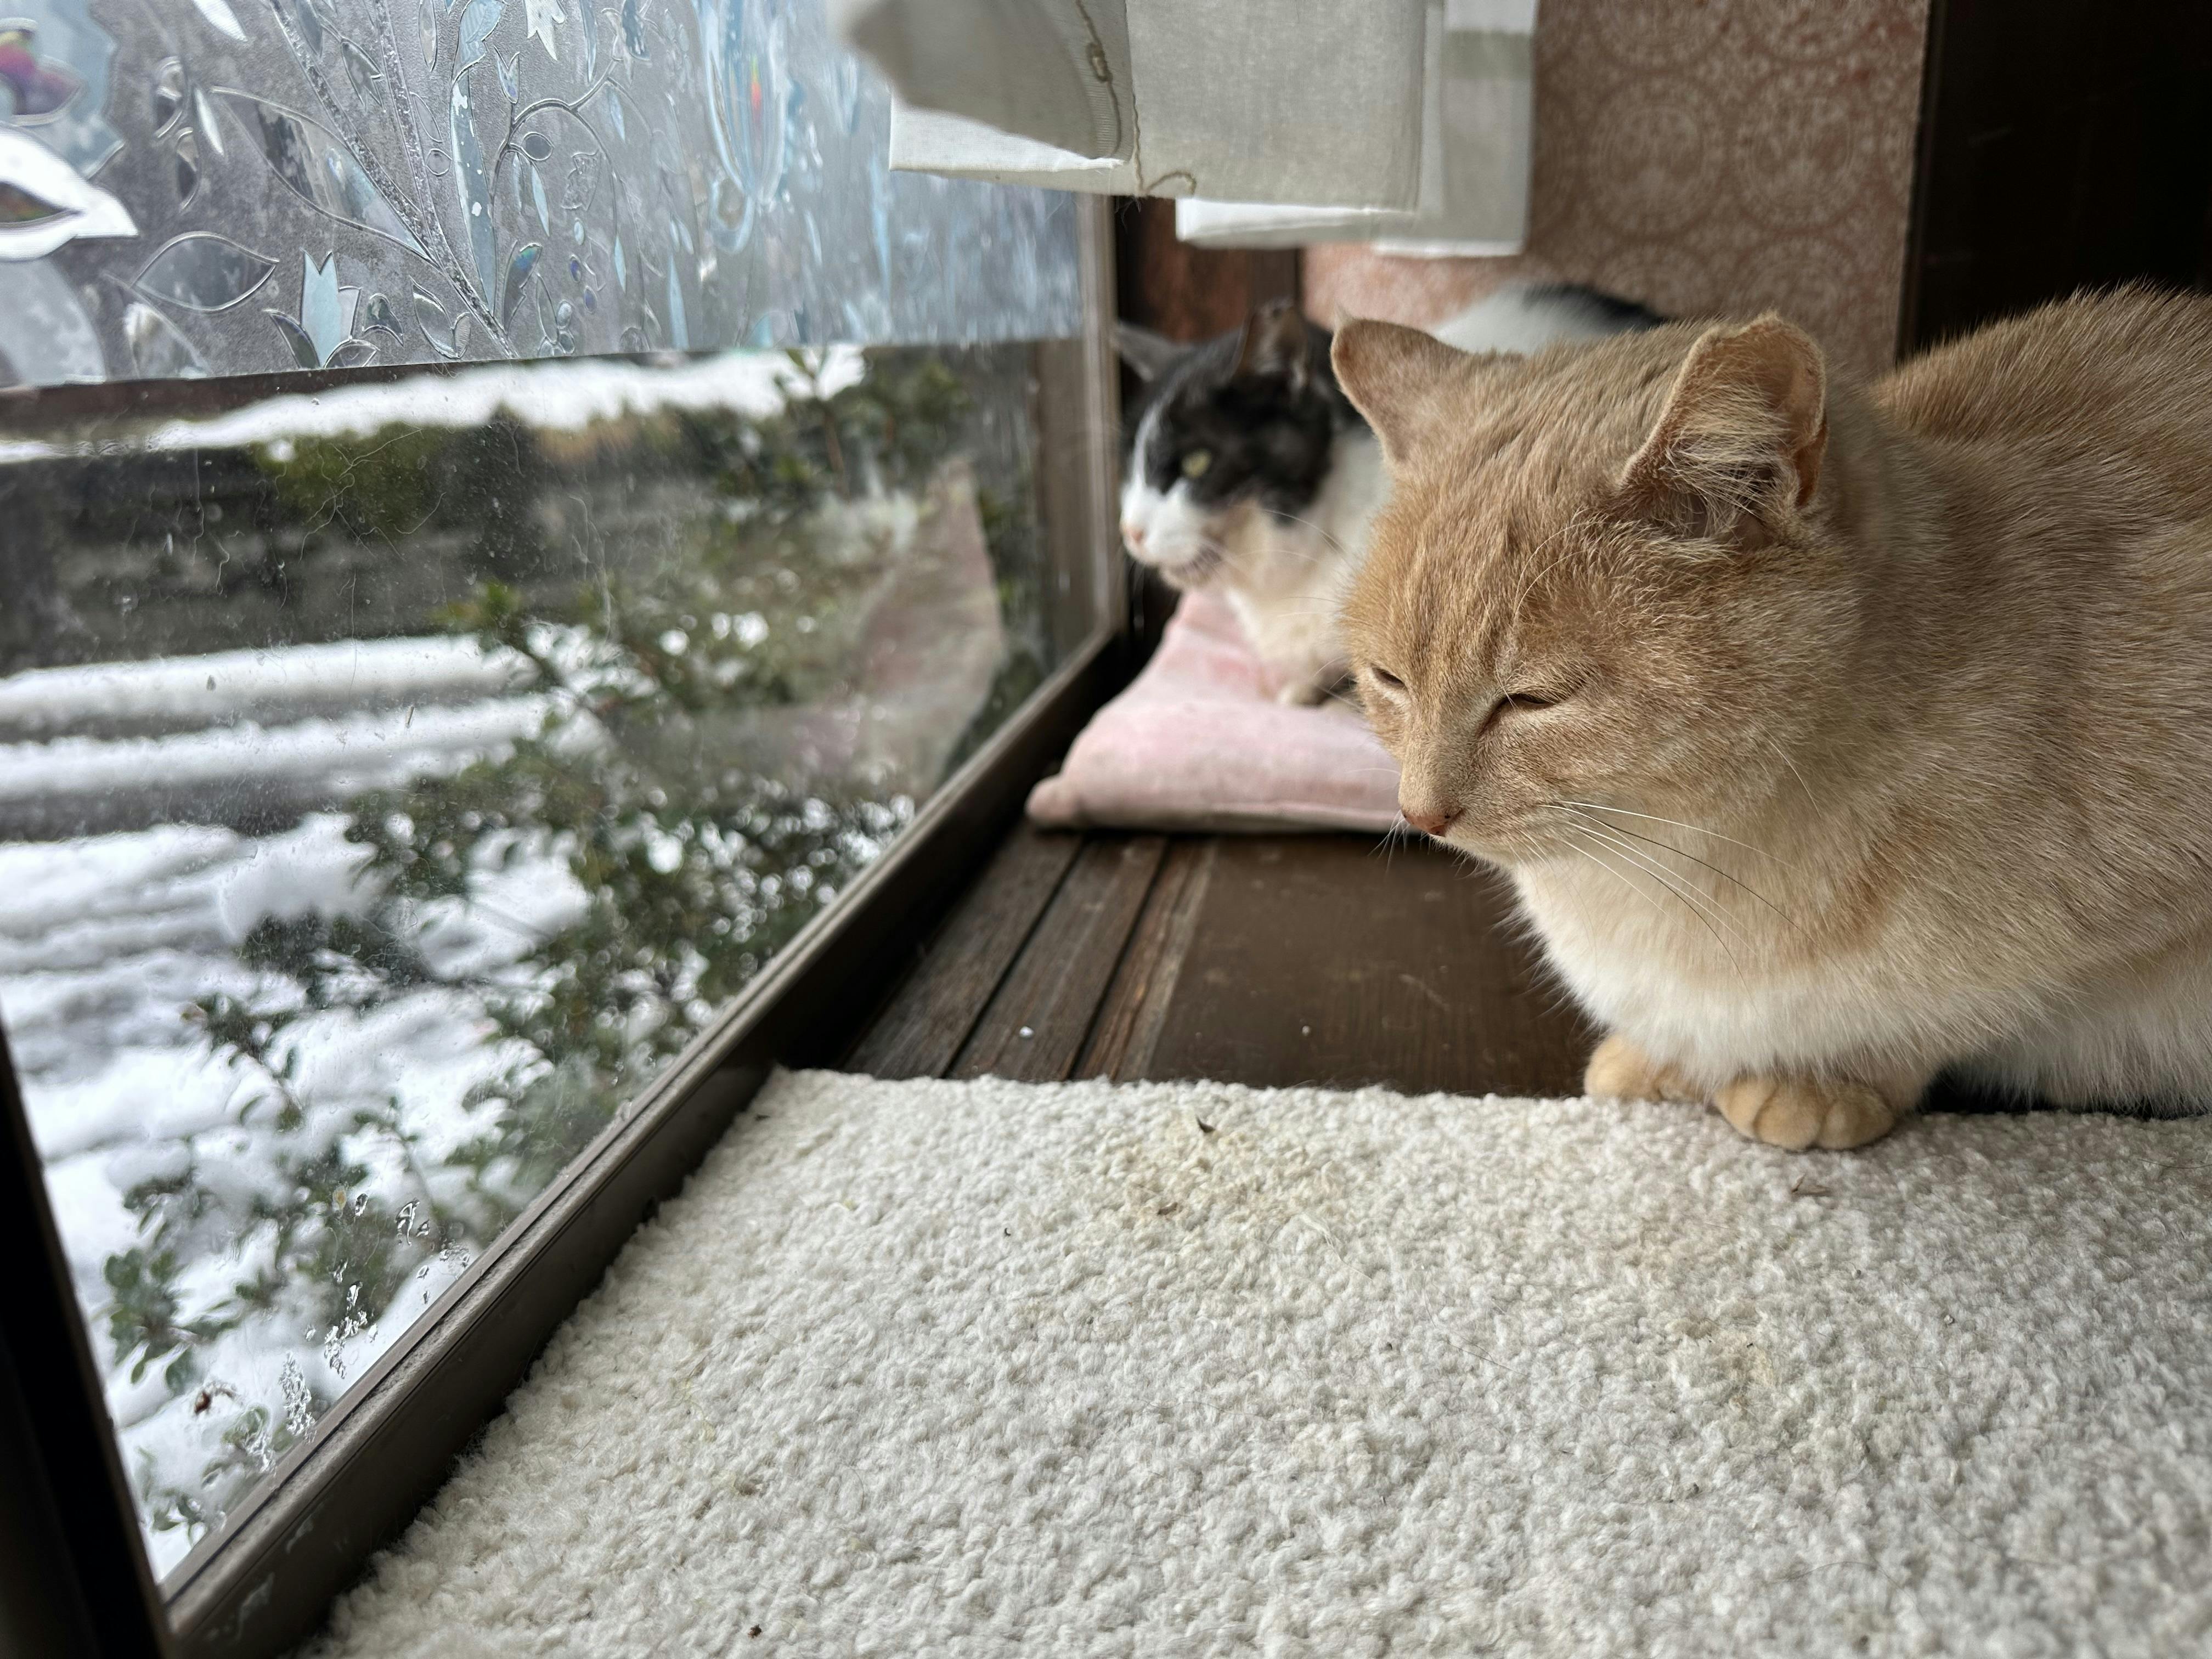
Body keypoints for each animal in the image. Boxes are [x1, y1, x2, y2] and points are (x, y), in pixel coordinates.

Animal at [1329, 286, 2212, 1151]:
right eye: (1391, 681)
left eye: (1533, 700)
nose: (1421, 813)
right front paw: (1665, 1059)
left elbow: (1954, 1016)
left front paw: (1821, 1081)